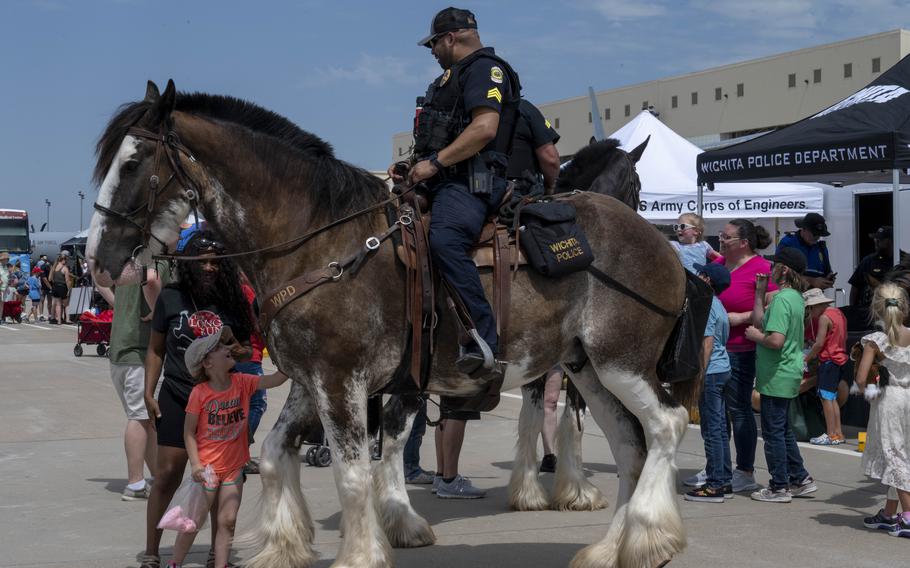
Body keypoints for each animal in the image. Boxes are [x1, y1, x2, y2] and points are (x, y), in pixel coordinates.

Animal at [87, 81, 700, 568]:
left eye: (133, 163)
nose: (98, 258)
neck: (320, 239)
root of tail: (659, 245)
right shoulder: (313, 382)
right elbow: (276, 455)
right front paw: (283, 547)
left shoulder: (343, 382)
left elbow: (355, 473)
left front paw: (361, 554)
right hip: (589, 368)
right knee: (630, 444)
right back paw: (611, 548)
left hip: (622, 363)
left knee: (666, 425)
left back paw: (649, 537)